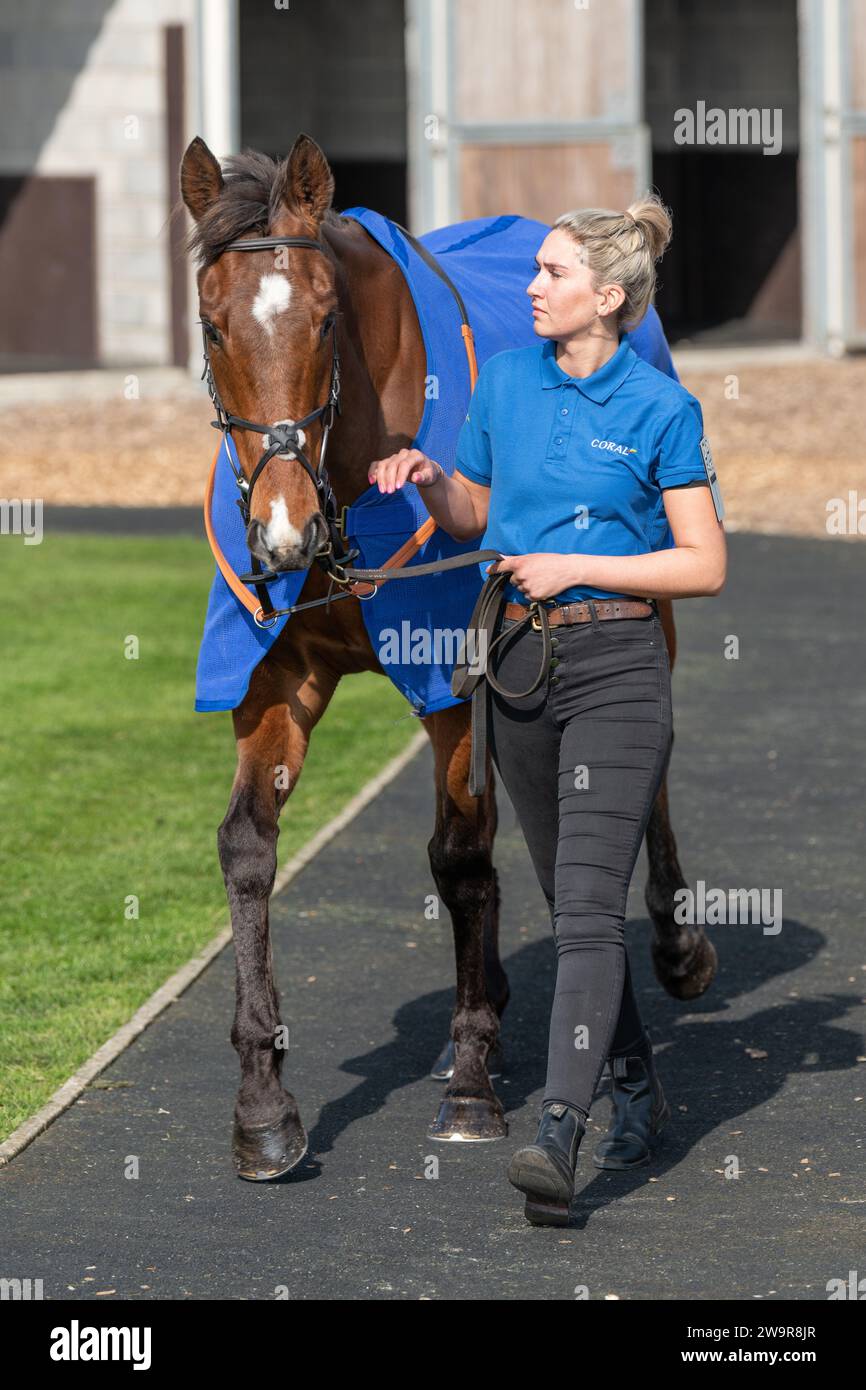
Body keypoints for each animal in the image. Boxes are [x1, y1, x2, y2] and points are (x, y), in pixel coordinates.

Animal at [179, 130, 717, 1178]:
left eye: (325, 318)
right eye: (214, 327)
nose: (282, 535)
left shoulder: (445, 672)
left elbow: (460, 857)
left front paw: (471, 1083)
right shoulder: (273, 677)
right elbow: (247, 849)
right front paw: (263, 1105)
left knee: (653, 761)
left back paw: (673, 949)